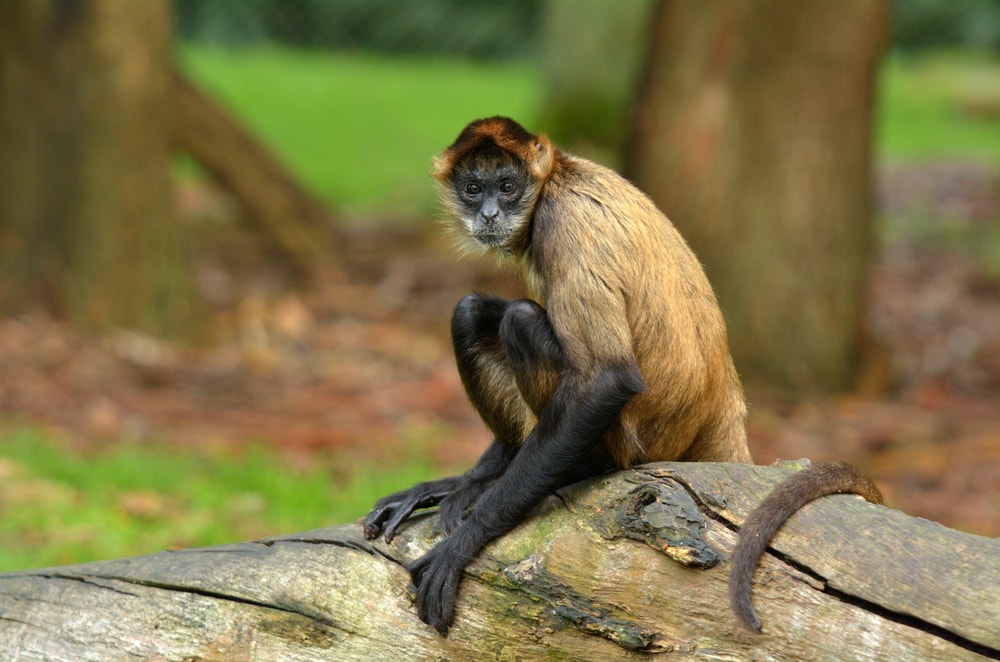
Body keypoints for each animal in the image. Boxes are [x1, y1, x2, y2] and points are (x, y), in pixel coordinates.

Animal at [362, 116, 883, 635]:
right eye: (473, 189)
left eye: (507, 187)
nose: (488, 214)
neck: (560, 177)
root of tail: (723, 405)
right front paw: (455, 483)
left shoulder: (563, 223)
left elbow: (606, 380)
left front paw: (462, 544)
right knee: (471, 312)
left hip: (629, 441)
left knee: (519, 320)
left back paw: (578, 469)